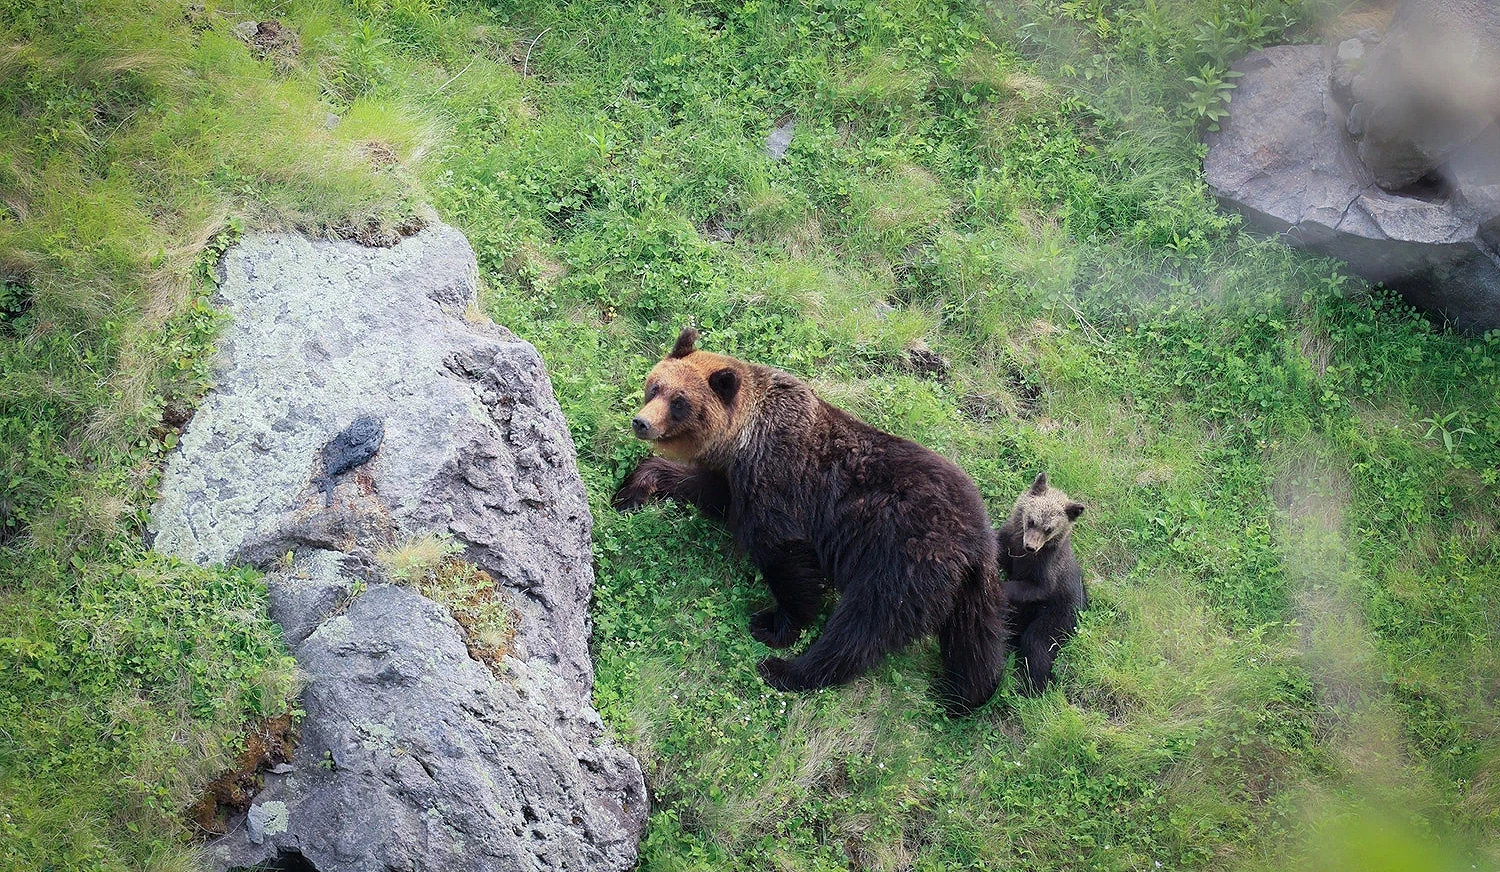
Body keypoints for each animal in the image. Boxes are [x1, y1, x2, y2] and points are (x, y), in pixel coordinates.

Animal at [612, 327, 1009, 714]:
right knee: (976, 635)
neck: (743, 440)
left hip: (904, 560)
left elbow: (784, 555)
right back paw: (964, 693)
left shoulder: (776, 482)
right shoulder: (733, 479)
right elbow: (705, 491)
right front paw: (632, 489)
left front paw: (775, 624)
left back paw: (787, 670)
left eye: (679, 402)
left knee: (865, 623)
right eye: (655, 386)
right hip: (966, 585)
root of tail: (978, 541)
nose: (641, 422)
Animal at [996, 472, 1086, 696]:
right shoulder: (1009, 540)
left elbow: (1036, 587)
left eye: (1049, 529)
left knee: (1037, 643)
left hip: (1057, 617)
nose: (1030, 546)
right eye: (1031, 520)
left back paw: (1031, 688)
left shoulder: (1047, 568)